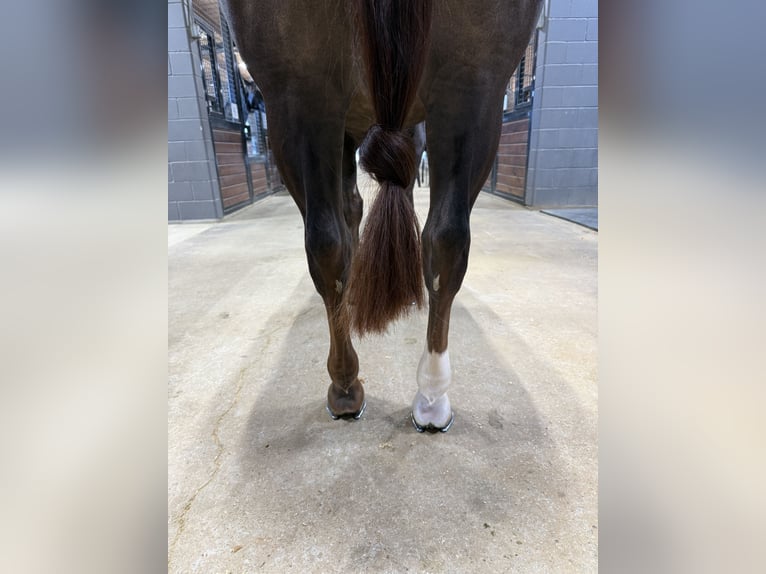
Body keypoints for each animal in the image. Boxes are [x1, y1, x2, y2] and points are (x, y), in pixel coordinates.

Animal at [222, 0, 542, 431]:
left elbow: (351, 212)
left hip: (305, 94)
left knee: (332, 243)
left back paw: (351, 388)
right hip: (469, 85)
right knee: (442, 239)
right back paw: (429, 397)